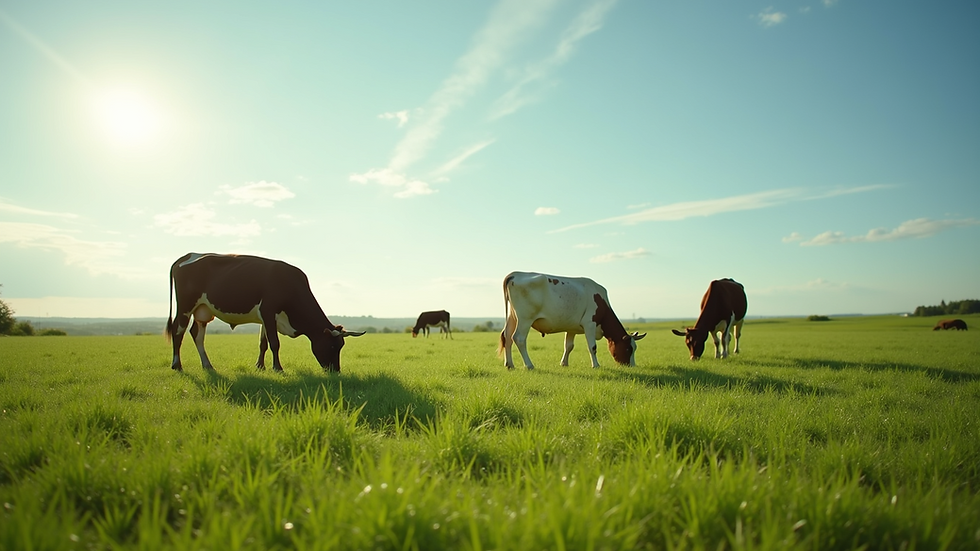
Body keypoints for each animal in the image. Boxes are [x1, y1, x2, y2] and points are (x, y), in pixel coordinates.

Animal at [165, 253, 365, 373]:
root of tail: (188, 255)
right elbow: (275, 343)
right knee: (178, 331)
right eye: (331, 346)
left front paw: (260, 366)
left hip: (203, 311)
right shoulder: (268, 312)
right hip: (185, 306)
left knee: (196, 334)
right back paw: (176, 365)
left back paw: (207, 366)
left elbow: (263, 343)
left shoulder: (265, 319)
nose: (335, 371)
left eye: (341, 346)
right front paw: (277, 368)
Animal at [497, 271, 646, 370]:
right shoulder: (590, 324)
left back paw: (509, 365)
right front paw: (596, 365)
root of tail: (516, 274)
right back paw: (529, 365)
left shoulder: (571, 328)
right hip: (525, 319)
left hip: (513, 317)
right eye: (628, 349)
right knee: (519, 338)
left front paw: (564, 363)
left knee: (507, 337)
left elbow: (568, 346)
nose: (632, 366)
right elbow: (592, 347)